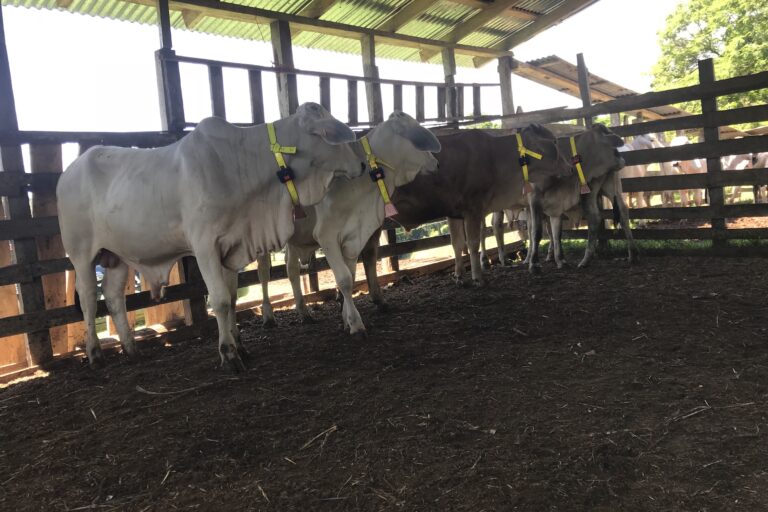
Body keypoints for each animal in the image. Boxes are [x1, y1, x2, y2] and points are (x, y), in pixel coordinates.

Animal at [256, 112, 440, 334]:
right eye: (418, 135)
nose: (436, 162)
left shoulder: (354, 234)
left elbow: (351, 276)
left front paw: (345, 319)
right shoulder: (326, 235)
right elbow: (343, 279)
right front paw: (355, 323)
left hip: (295, 238)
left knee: (291, 269)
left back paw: (304, 312)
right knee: (263, 272)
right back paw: (267, 316)